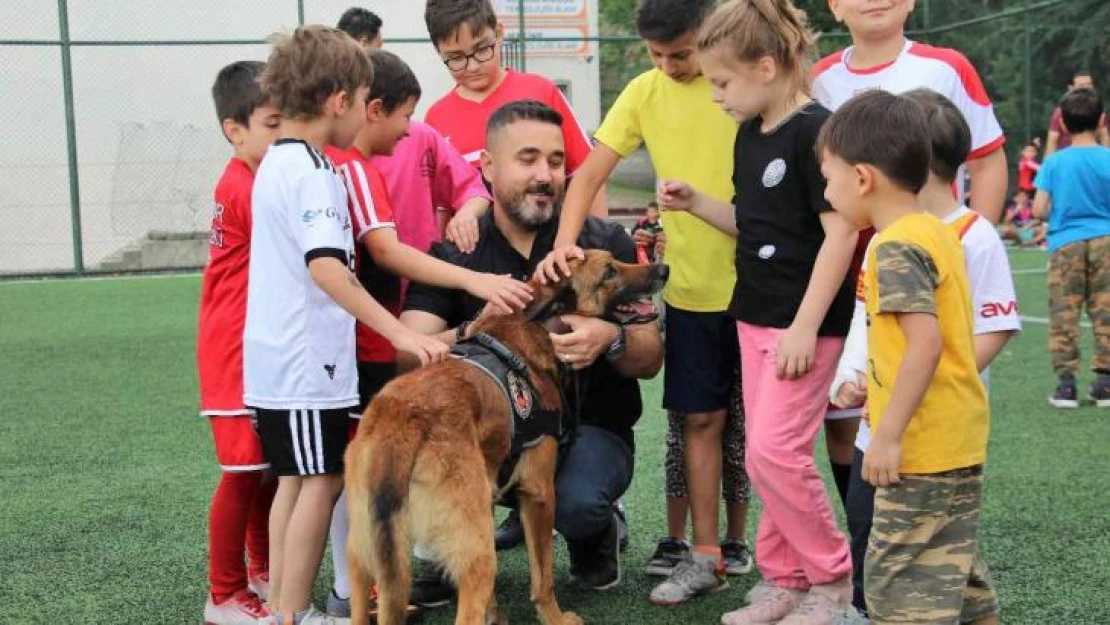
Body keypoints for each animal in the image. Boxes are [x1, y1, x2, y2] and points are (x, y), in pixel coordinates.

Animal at [337, 250, 666, 625]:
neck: (535, 329)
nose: (664, 268)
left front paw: (495, 616)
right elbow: (543, 577)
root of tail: (401, 424)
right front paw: (554, 618)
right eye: (610, 271)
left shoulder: (491, 495)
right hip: (477, 551)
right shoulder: (539, 493)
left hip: (366, 559)